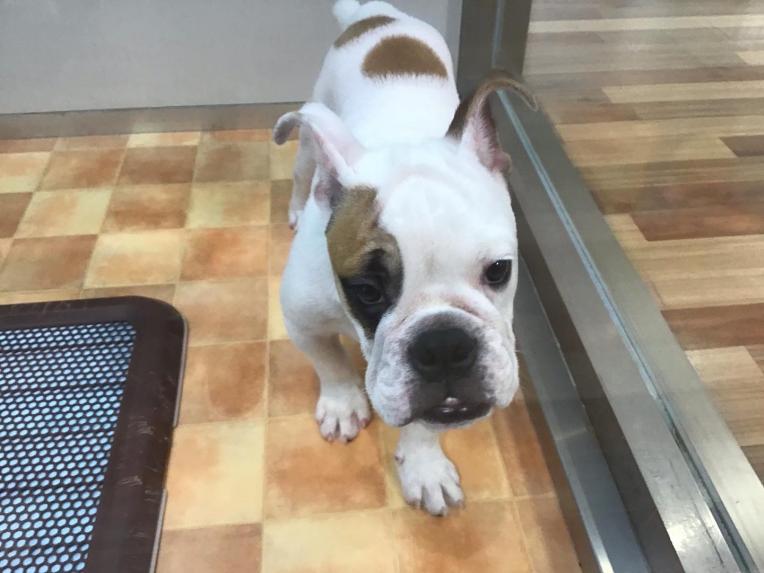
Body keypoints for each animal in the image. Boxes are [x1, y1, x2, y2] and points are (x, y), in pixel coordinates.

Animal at [272, 0, 536, 516]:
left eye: (499, 271)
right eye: (367, 290)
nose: (444, 343)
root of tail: (373, 14)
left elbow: (425, 422)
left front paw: (423, 464)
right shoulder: (302, 320)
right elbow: (328, 363)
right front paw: (342, 402)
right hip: (311, 131)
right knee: (301, 171)